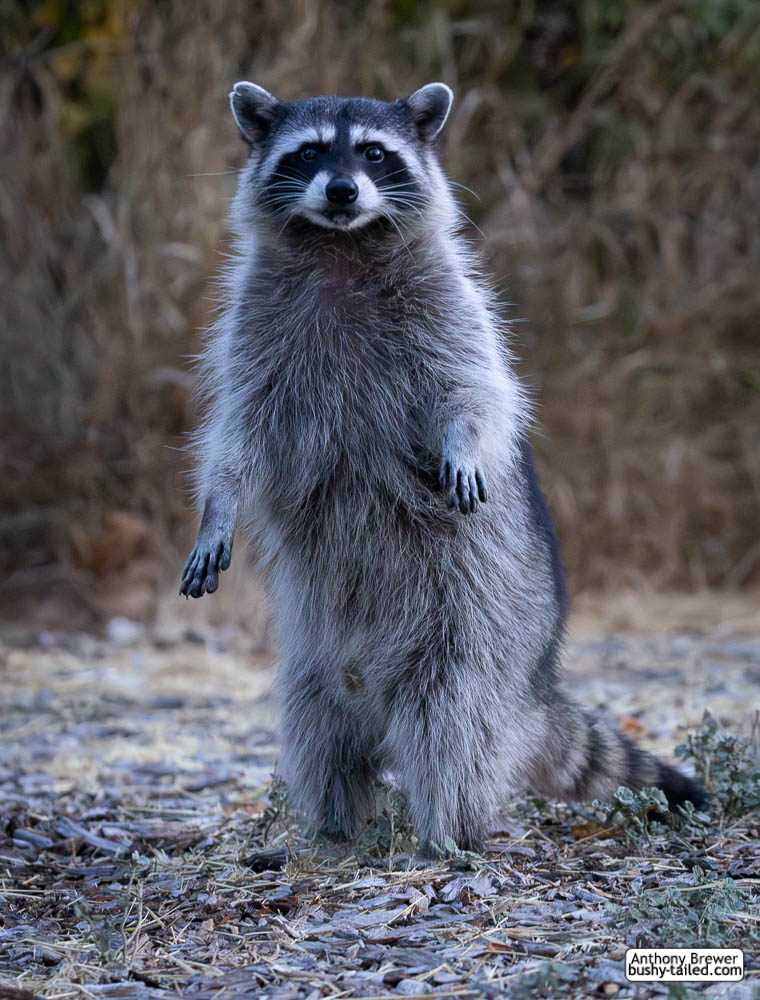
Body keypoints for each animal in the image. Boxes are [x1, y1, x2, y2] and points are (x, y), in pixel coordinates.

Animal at [180, 82, 704, 855]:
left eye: (374, 153)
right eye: (308, 152)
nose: (342, 190)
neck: (342, 244)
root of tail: (532, 683)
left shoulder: (450, 302)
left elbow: (475, 388)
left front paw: (463, 440)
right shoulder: (253, 329)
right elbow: (236, 435)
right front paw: (217, 508)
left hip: (476, 632)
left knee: (452, 725)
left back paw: (448, 833)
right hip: (316, 662)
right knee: (315, 726)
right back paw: (333, 828)